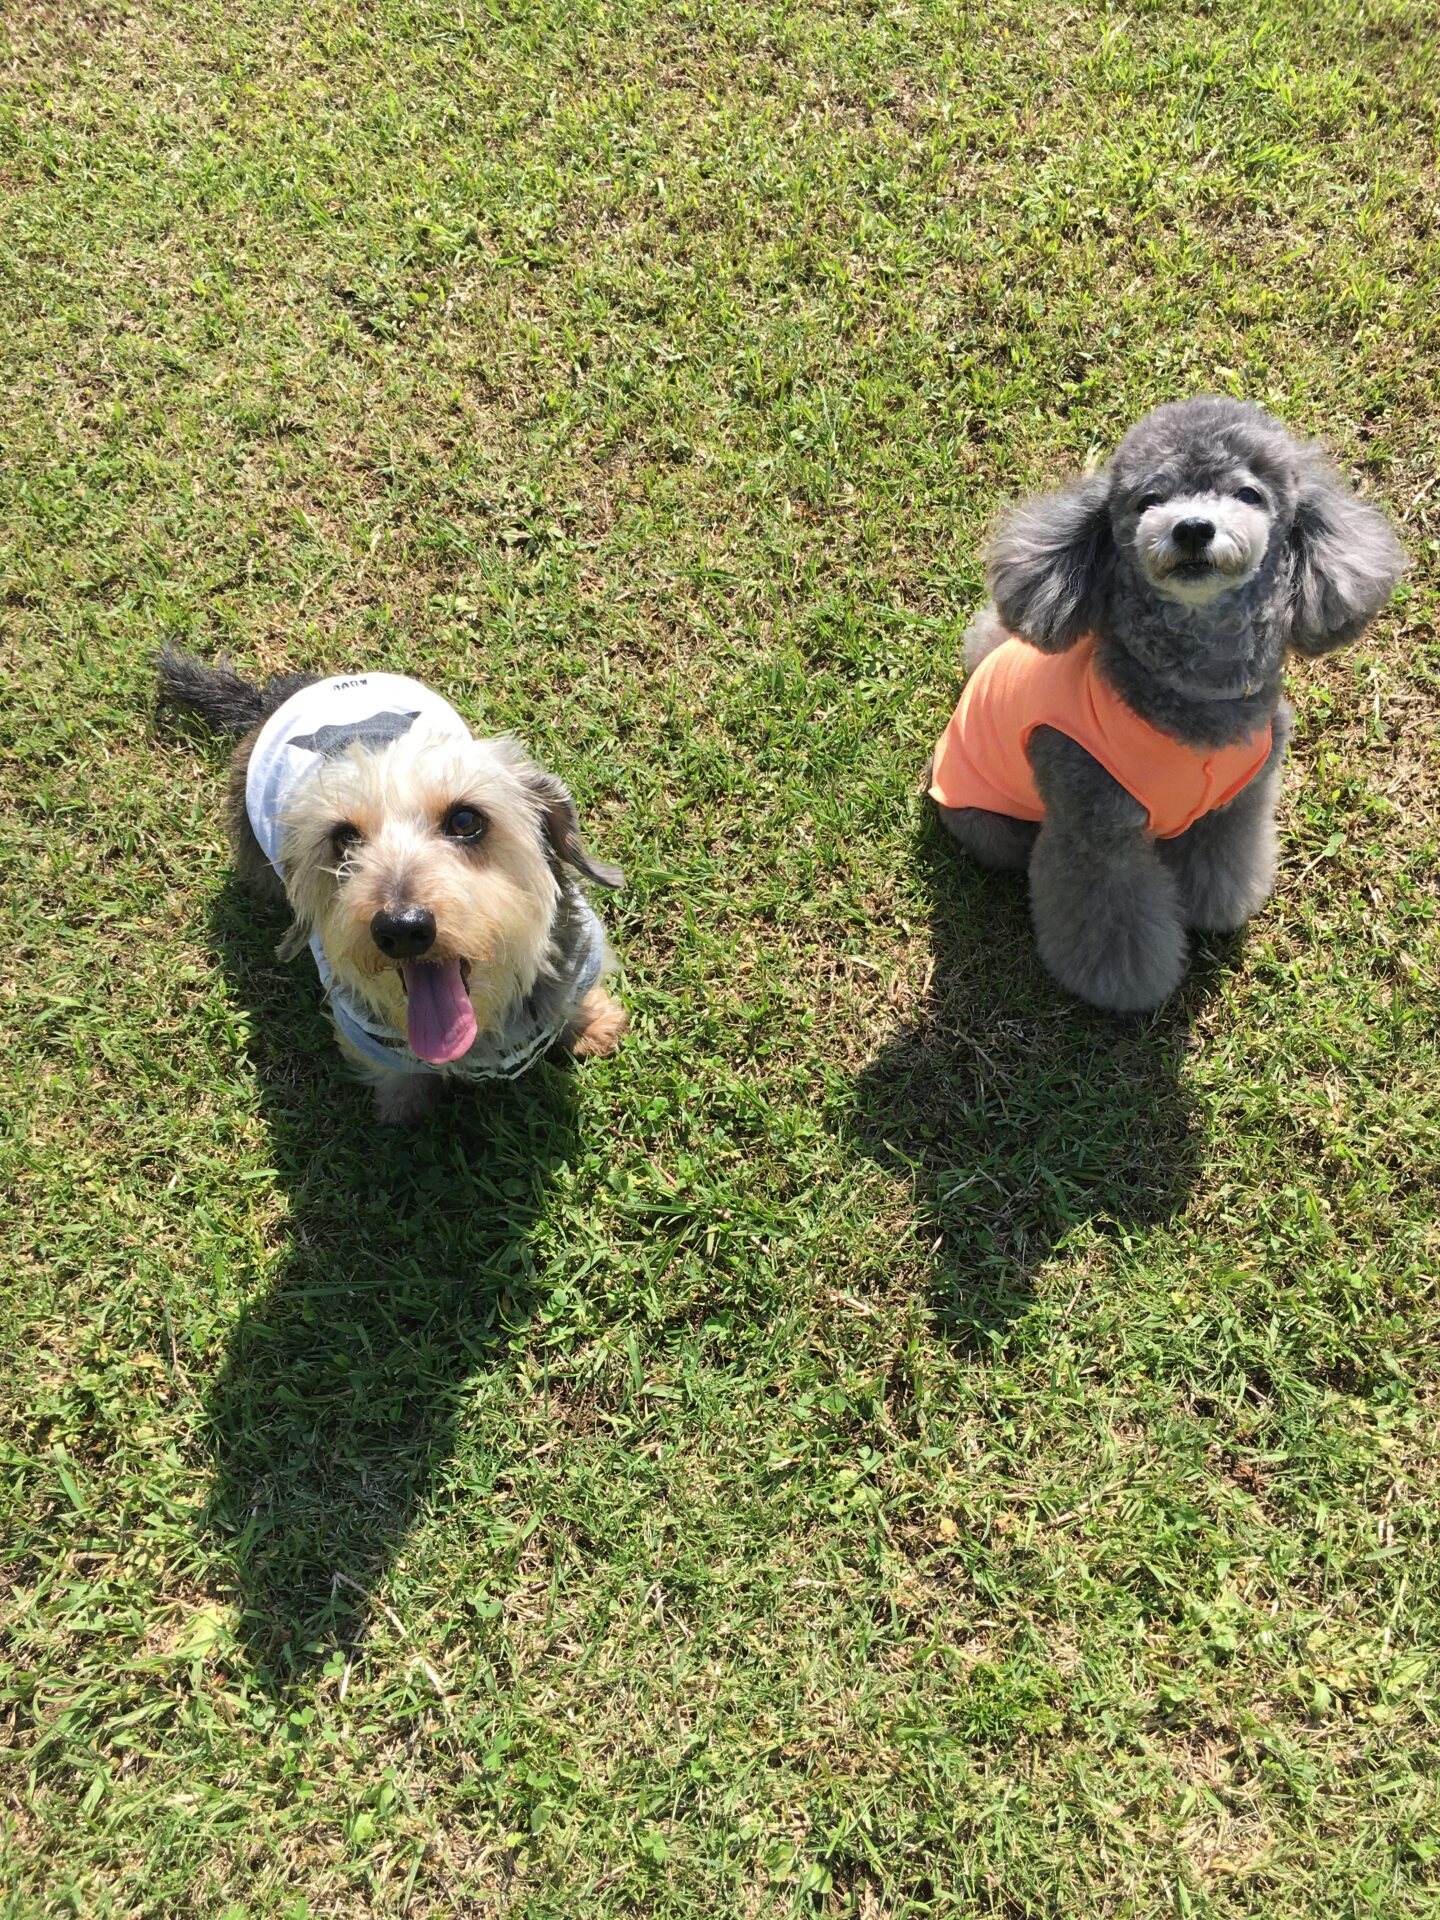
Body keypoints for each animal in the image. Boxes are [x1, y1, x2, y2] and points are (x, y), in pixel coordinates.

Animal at [158, 653, 628, 1122]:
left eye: (465, 820)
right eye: (344, 839)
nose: (402, 928)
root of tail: (270, 699)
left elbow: (576, 998)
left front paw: (591, 1024)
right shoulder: (361, 1030)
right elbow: (393, 1071)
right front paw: (404, 1108)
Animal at [928, 397, 1405, 1013]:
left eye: (1248, 494)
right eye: (1149, 500)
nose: (1193, 528)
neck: (1191, 692)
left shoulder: (1240, 801)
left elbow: (1223, 862)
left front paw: (1218, 908)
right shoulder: (1097, 835)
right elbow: (1111, 921)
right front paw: (1122, 988)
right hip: (991, 826)